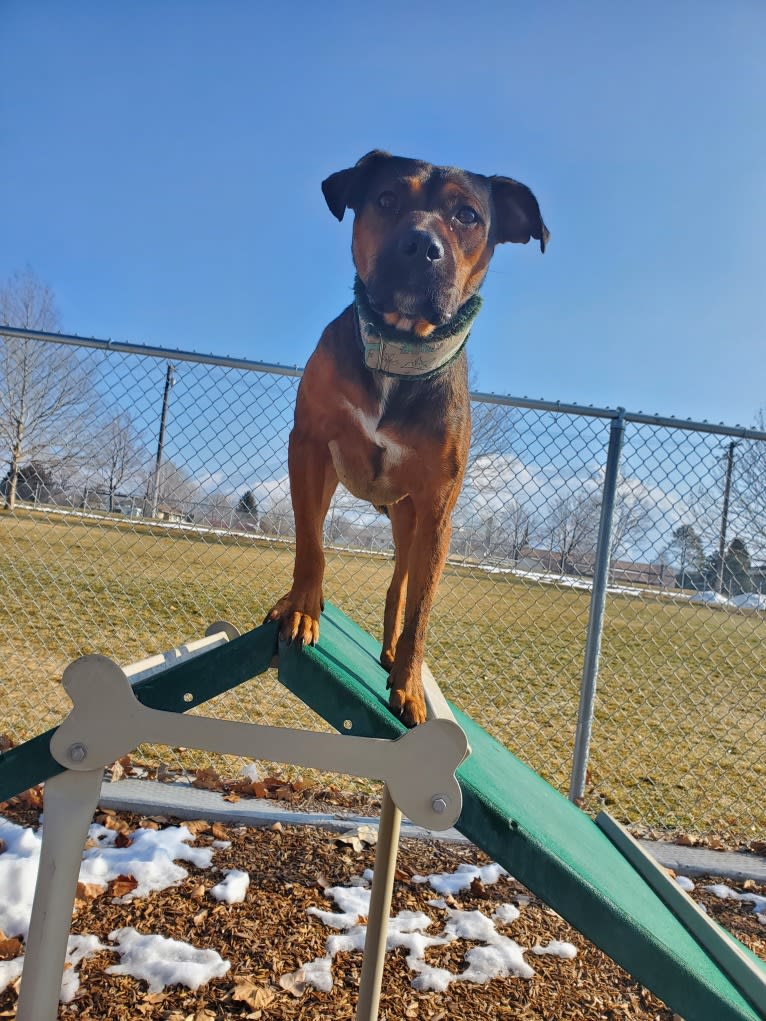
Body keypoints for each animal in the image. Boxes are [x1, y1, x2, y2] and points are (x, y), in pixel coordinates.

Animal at [267, 149, 547, 726]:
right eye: (387, 198)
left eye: (468, 216)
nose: (422, 245)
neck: (399, 353)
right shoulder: (308, 448)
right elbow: (311, 544)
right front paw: (301, 610)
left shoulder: (438, 510)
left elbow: (421, 605)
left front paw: (410, 685)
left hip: (410, 522)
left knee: (400, 584)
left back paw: (393, 653)